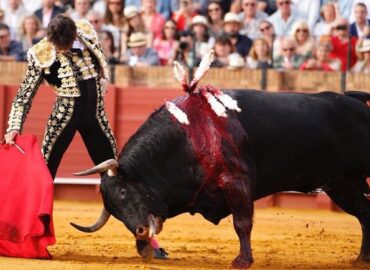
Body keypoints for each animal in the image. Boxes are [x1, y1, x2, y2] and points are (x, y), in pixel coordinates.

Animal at [71, 90, 370, 268]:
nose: (141, 232)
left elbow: (242, 224)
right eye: (113, 210)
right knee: (364, 213)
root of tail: (354, 100)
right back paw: (362, 258)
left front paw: (242, 260)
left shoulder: (236, 182)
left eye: (123, 193)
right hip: (342, 184)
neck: (187, 137)